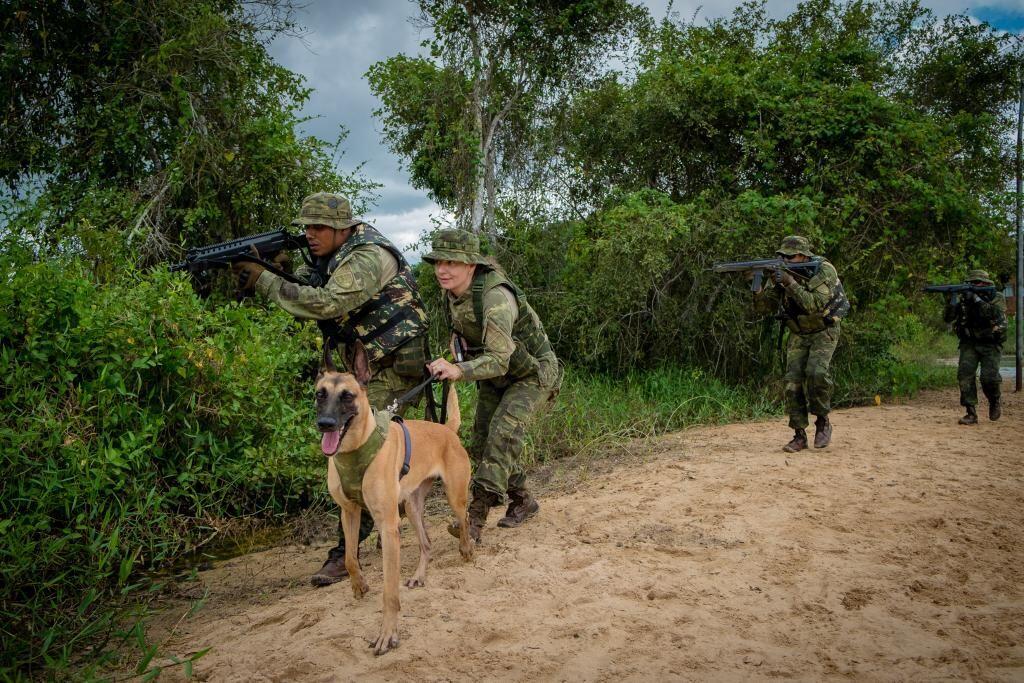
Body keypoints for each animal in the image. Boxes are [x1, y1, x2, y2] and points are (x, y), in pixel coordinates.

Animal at [313, 342, 473, 655]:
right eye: (319, 394)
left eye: (347, 396)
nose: (325, 424)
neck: (355, 449)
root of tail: (447, 429)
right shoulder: (349, 511)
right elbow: (350, 558)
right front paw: (359, 585)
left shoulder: (388, 527)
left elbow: (389, 592)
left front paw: (387, 635)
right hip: (411, 506)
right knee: (426, 543)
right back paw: (420, 575)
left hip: (454, 496)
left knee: (465, 519)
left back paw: (467, 549)